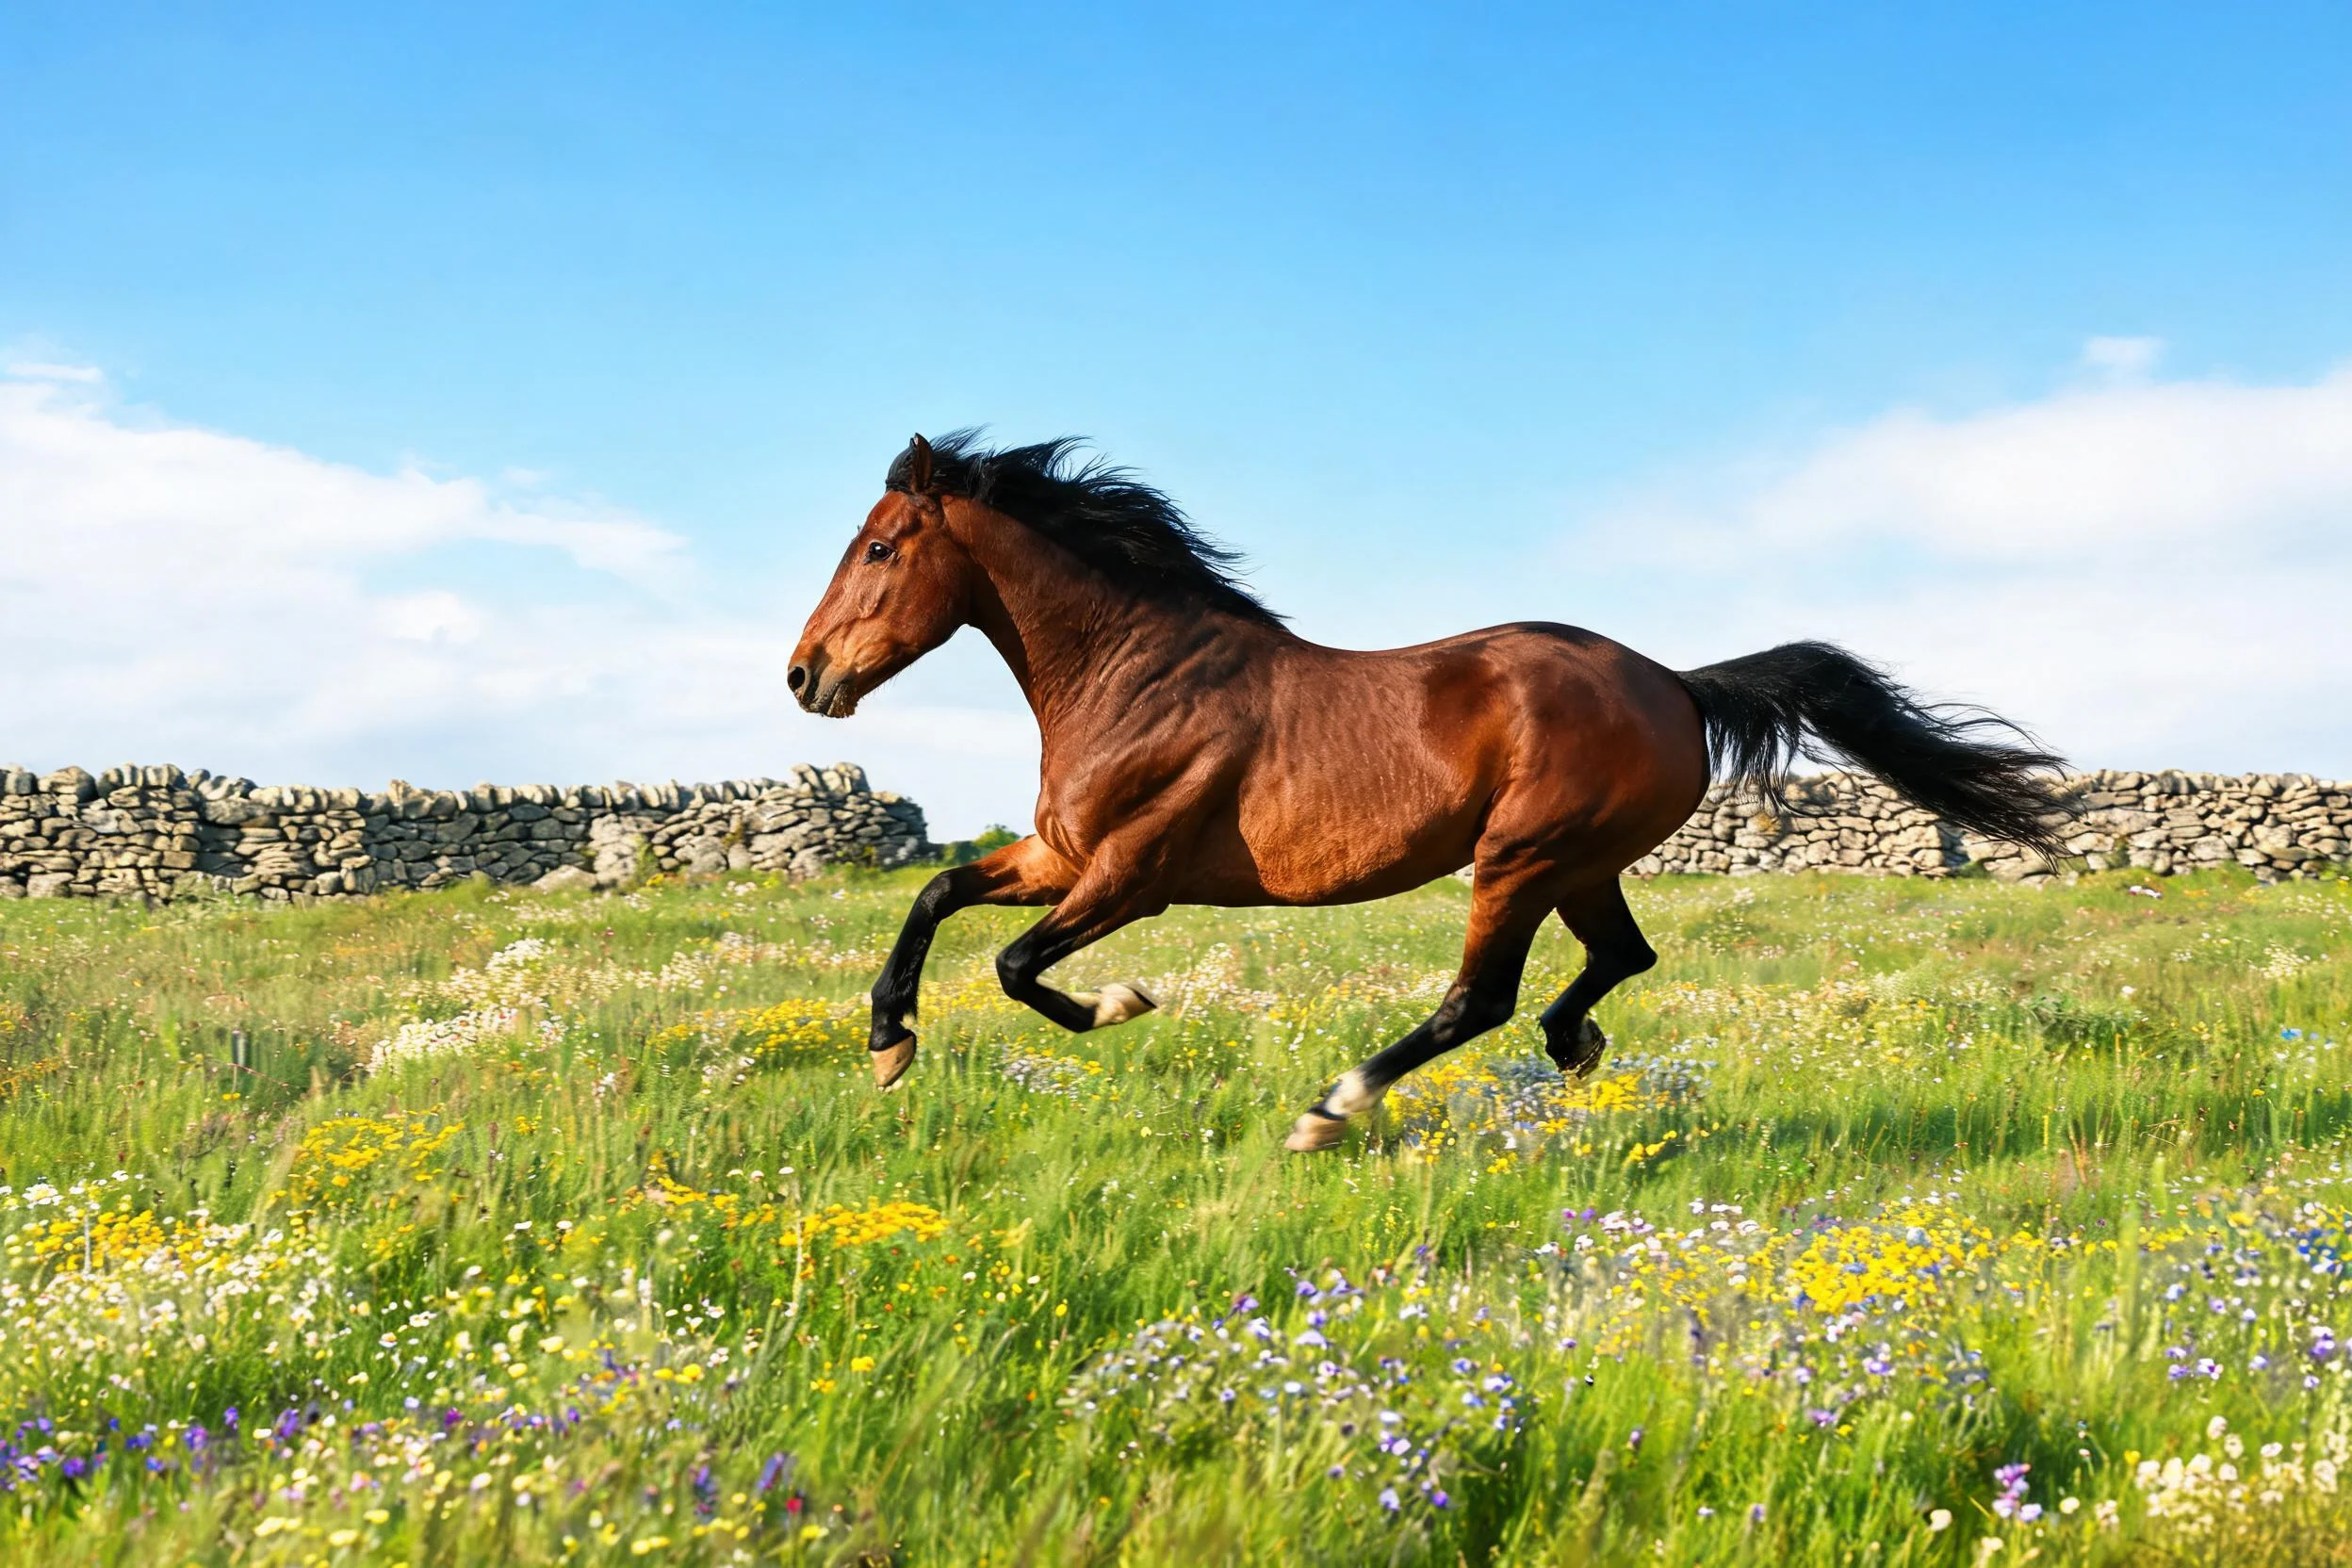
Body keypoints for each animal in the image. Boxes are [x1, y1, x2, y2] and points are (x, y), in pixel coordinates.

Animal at [789, 432, 2068, 1152]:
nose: (805, 675)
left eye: (880, 548)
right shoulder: (1059, 856)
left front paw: (1123, 1002)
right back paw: (1574, 1041)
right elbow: (938, 896)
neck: (1140, 674)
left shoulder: (1130, 875)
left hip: (1519, 857)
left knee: (1479, 999)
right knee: (1617, 959)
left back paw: (1331, 1109)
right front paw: (889, 1043)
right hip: (1576, 863)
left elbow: (1015, 967)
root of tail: (1675, 682)